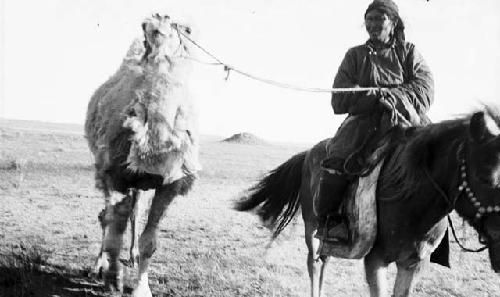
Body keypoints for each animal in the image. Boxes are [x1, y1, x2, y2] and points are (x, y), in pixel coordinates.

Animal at [84, 14, 199, 296]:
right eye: (145, 26)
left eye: (187, 29)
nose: (159, 21)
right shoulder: (116, 175)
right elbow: (115, 225)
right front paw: (113, 278)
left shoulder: (170, 183)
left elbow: (150, 240)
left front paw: (141, 288)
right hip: (105, 169)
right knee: (109, 216)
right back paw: (99, 266)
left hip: (141, 183)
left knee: (134, 212)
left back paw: (132, 257)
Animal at [234, 106, 500, 296]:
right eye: (485, 176)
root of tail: (308, 152)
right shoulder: (375, 260)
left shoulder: (414, 264)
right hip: (312, 226)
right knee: (314, 264)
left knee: (324, 260)